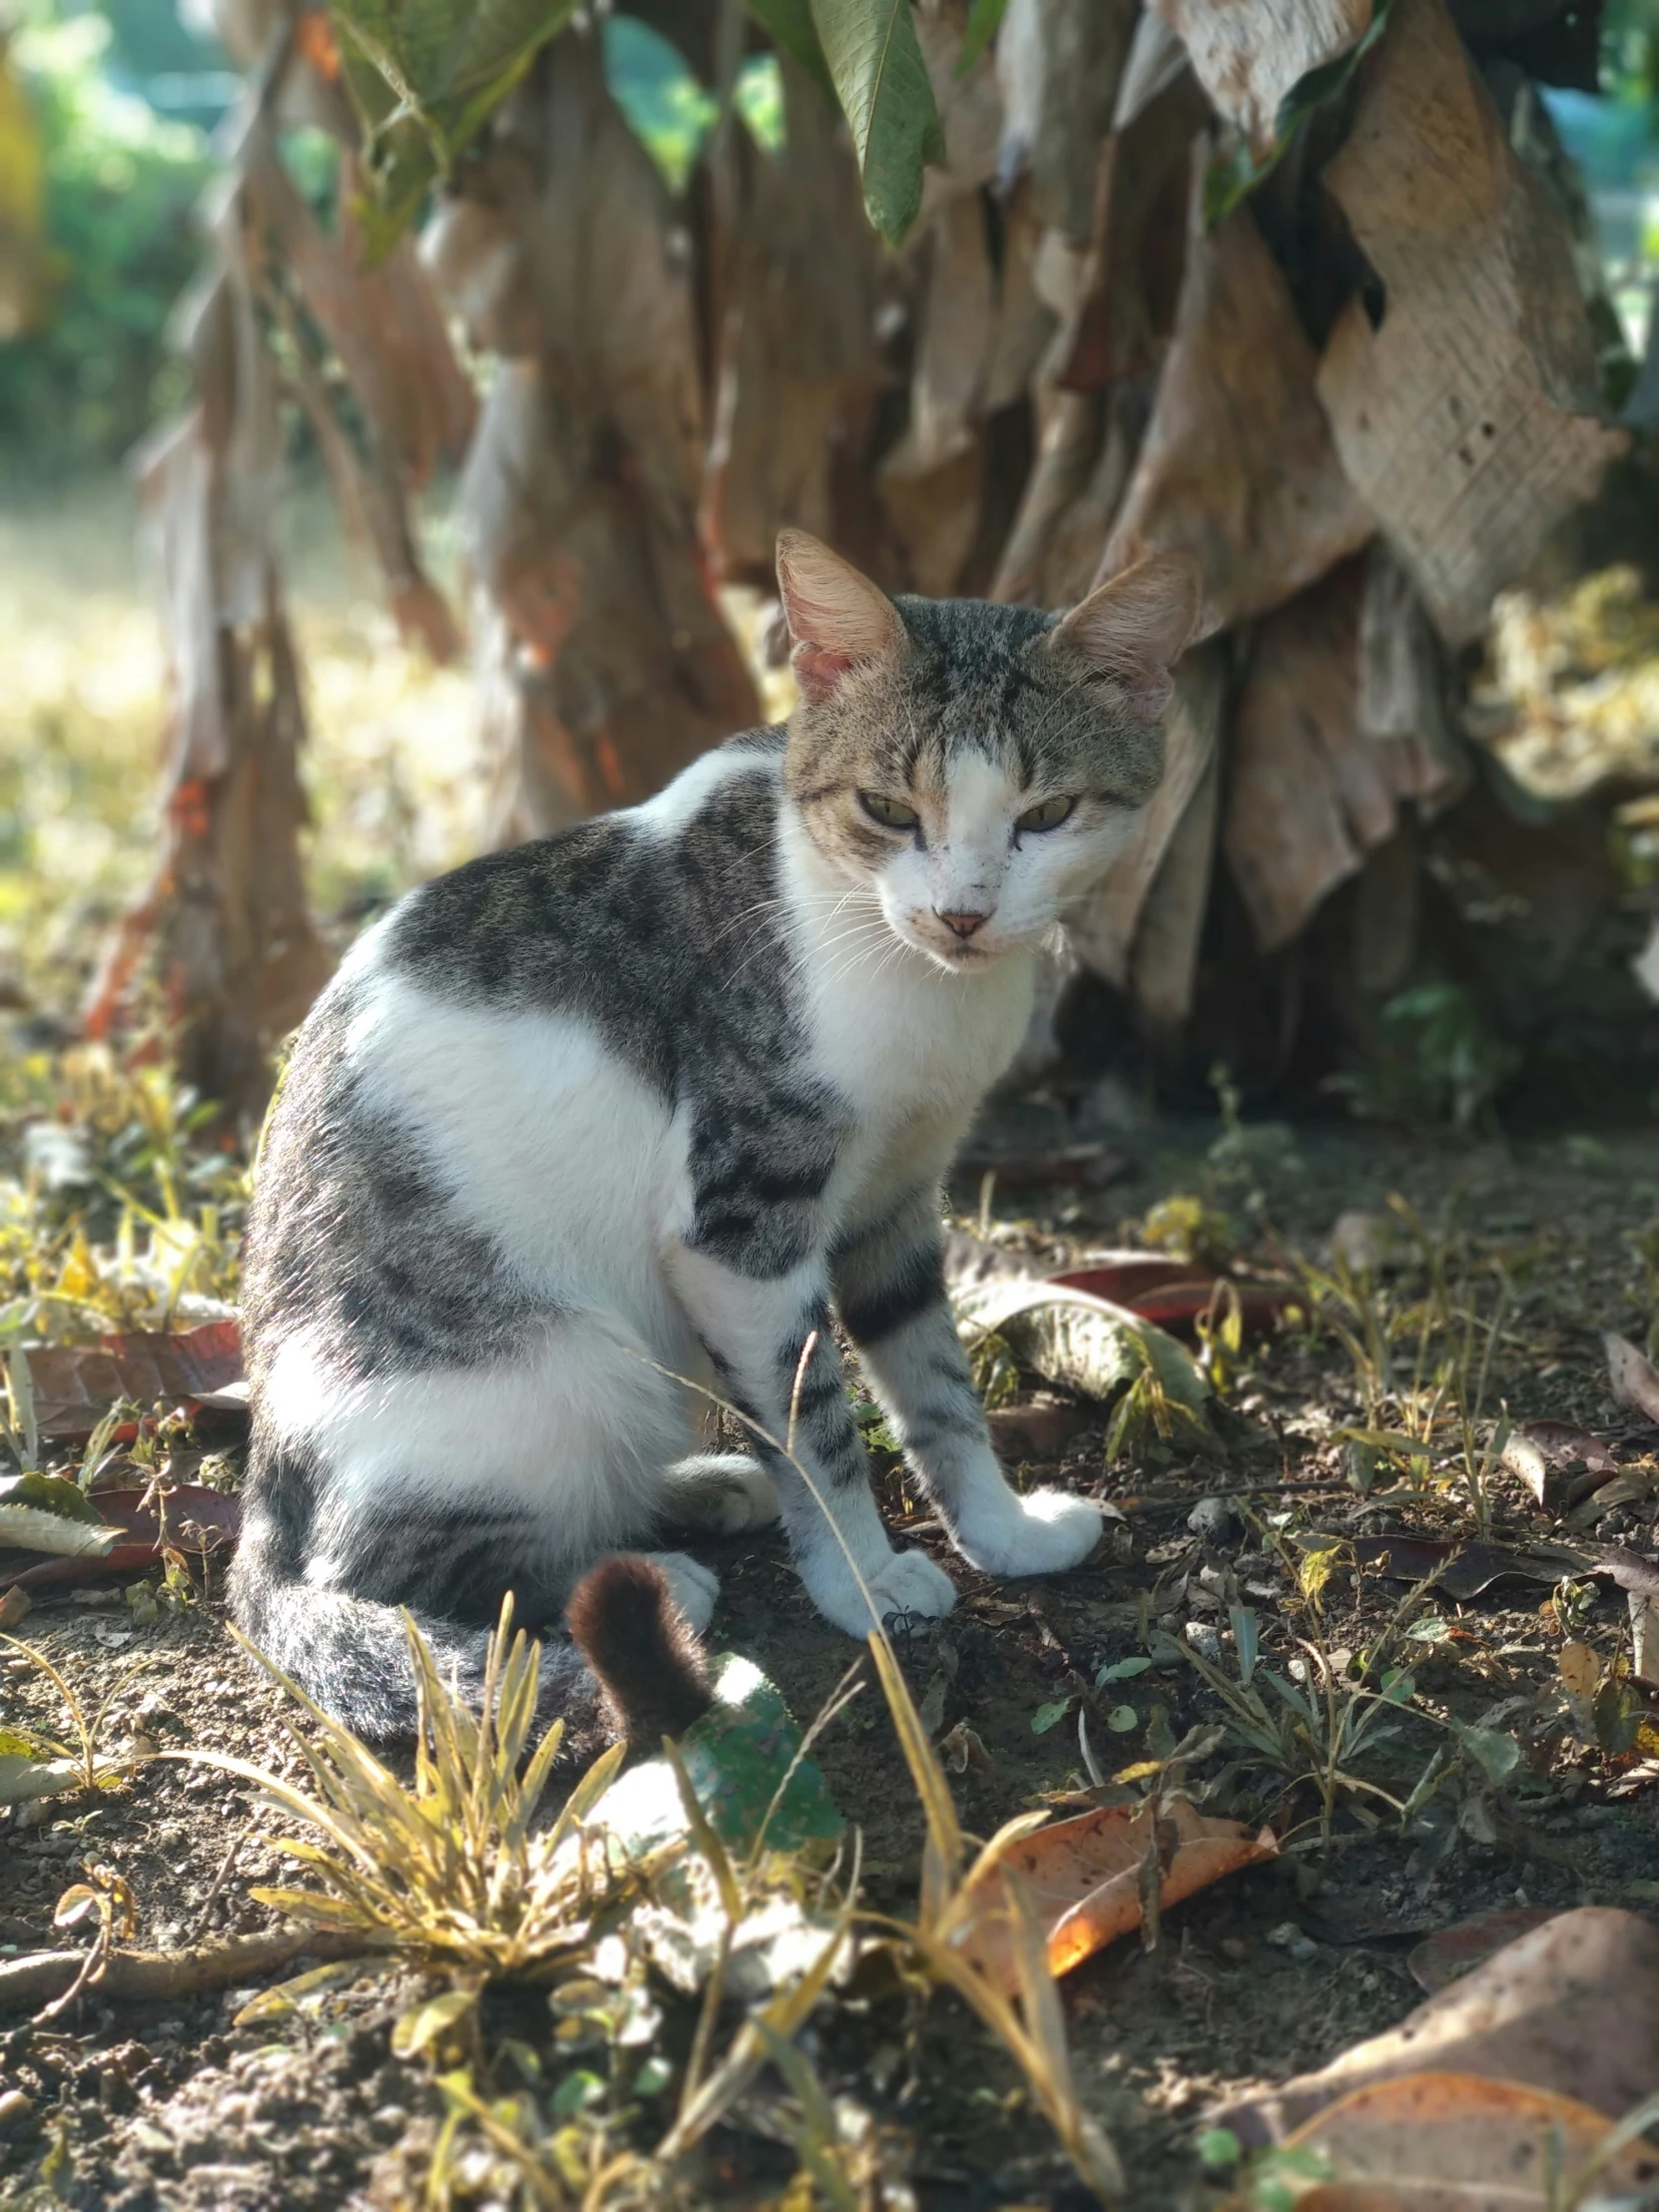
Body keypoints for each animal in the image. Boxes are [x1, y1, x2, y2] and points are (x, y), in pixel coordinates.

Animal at [228, 526, 1203, 1734]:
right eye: (889, 809)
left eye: (1047, 816)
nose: (963, 914)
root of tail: (264, 1481)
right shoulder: (740, 1228)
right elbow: (813, 1421)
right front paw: (865, 1582)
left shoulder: (896, 1197)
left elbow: (935, 1382)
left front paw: (1001, 1528)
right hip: (557, 1373)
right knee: (380, 1572)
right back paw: (631, 1580)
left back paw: (694, 1492)